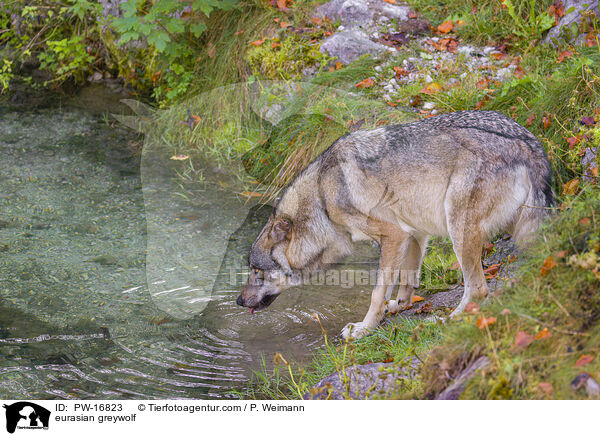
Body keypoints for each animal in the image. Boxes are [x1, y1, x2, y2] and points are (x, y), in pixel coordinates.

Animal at [234, 110, 552, 340]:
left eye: (256, 271)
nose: (238, 300)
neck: (322, 197)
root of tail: (529, 142)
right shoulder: (414, 234)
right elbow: (407, 281)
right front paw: (400, 306)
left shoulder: (393, 235)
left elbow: (377, 292)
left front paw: (363, 329)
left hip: (459, 232)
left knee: (479, 289)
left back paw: (447, 321)